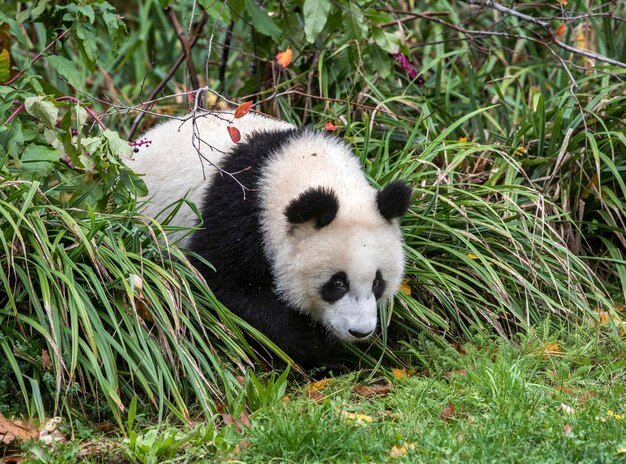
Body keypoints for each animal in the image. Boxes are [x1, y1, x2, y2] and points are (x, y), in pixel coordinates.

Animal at [126, 110, 410, 368]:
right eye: (338, 283)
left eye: (377, 282)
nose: (360, 331)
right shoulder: (237, 212)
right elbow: (218, 282)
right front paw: (313, 345)